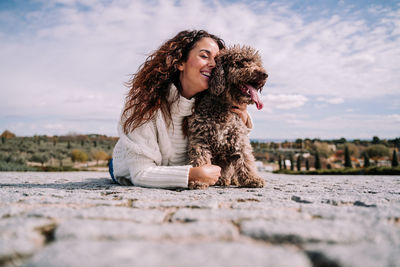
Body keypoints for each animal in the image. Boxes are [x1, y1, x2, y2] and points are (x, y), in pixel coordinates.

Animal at [188, 45, 268, 189]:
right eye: (240, 63)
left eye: (257, 63)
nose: (265, 74)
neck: (222, 108)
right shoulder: (200, 139)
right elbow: (201, 159)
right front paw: (200, 180)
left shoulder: (239, 139)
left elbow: (245, 159)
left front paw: (252, 178)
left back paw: (231, 180)